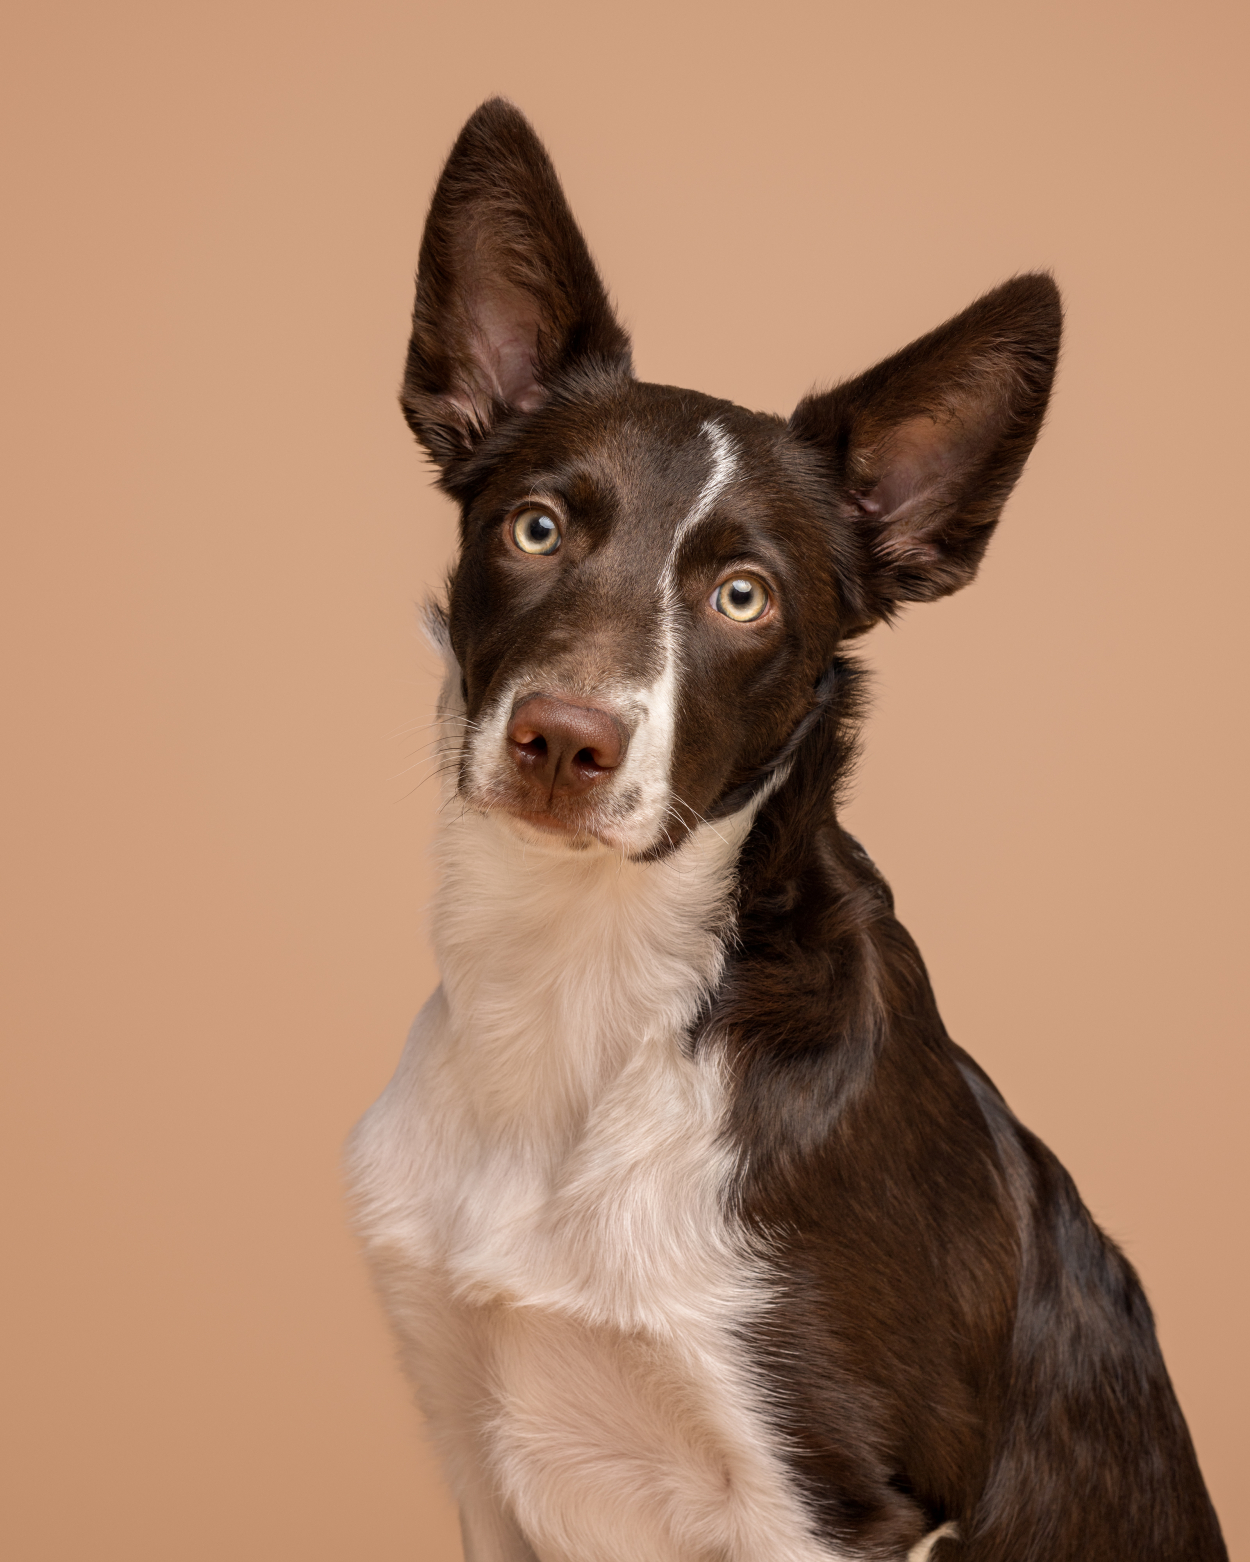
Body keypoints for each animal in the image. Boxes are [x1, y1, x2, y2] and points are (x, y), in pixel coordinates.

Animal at [348, 99, 1227, 1562]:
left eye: (743, 596)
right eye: (535, 525)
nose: (564, 742)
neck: (585, 991)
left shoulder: (828, 1494)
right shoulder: (475, 1455)